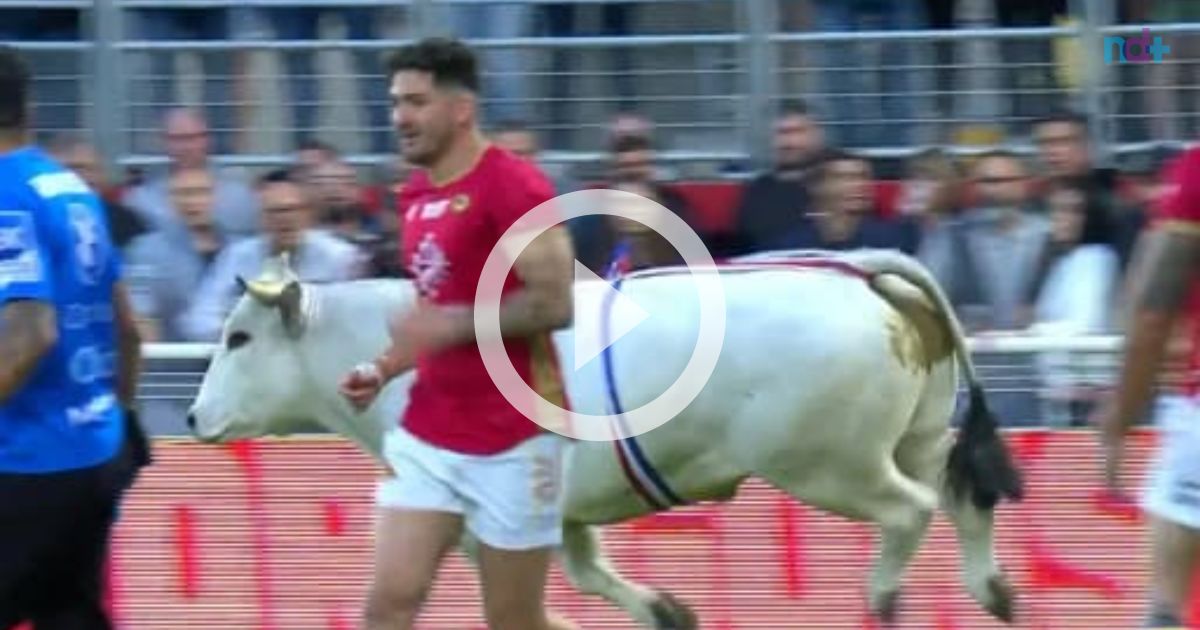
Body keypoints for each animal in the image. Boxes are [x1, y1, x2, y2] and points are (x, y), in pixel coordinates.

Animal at [184, 248, 1022, 624]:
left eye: (238, 338)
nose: (192, 418)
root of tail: (860, 272)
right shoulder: (565, 517)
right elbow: (589, 576)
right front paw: (662, 609)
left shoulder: (493, 520)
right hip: (913, 439)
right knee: (962, 497)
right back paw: (994, 590)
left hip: (830, 466)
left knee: (911, 511)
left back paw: (883, 596)